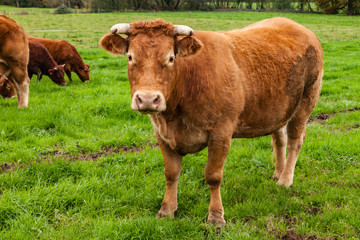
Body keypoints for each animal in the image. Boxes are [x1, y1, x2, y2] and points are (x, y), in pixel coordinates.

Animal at [99, 17, 324, 226]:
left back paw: (285, 180)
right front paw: (167, 209)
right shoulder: (161, 133)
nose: (147, 99)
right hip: (278, 108)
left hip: (306, 101)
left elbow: (213, 176)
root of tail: (297, 26)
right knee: (279, 139)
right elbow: (171, 173)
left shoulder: (221, 133)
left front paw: (216, 216)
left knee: (295, 141)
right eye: (130, 57)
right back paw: (278, 172)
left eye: (171, 58)